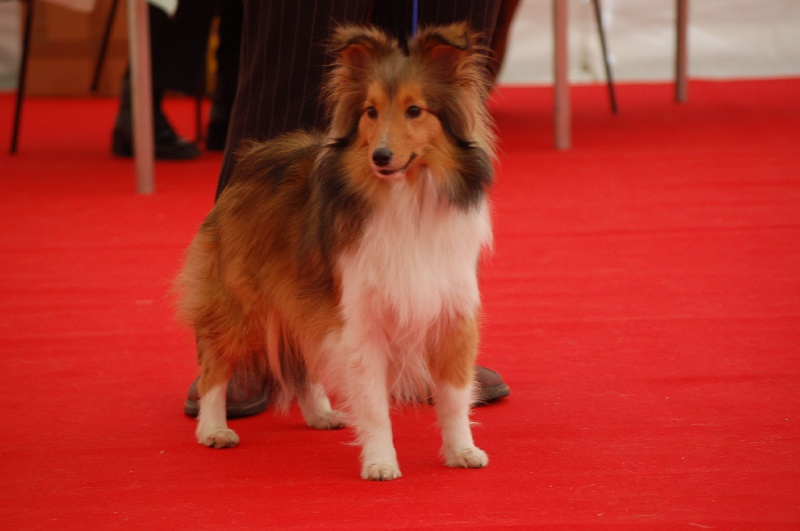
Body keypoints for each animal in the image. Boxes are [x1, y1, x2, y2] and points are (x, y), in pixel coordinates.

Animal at [177, 23, 494, 482]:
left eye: (415, 110)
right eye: (370, 111)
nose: (380, 156)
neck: (406, 196)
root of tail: (255, 156)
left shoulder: (450, 309)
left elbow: (453, 395)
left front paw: (462, 451)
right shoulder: (361, 318)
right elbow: (374, 404)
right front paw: (381, 462)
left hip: (299, 292)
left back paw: (319, 413)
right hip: (243, 301)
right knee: (215, 364)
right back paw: (214, 428)